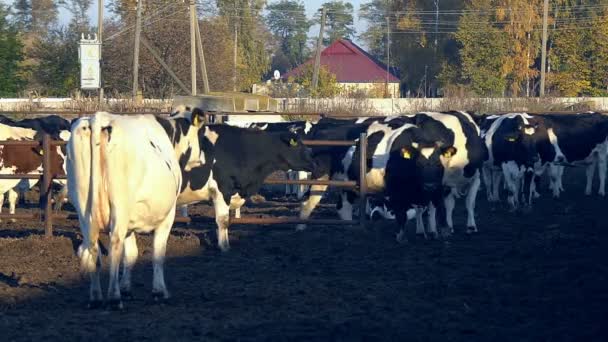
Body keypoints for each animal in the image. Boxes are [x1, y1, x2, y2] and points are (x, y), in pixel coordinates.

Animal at [67, 111, 204, 308]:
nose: (201, 160)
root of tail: (100, 117)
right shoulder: (167, 216)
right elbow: (158, 253)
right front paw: (159, 291)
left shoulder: (129, 225)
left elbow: (131, 255)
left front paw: (126, 288)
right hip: (120, 208)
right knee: (115, 245)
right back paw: (114, 297)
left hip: (84, 210)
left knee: (93, 249)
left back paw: (96, 297)